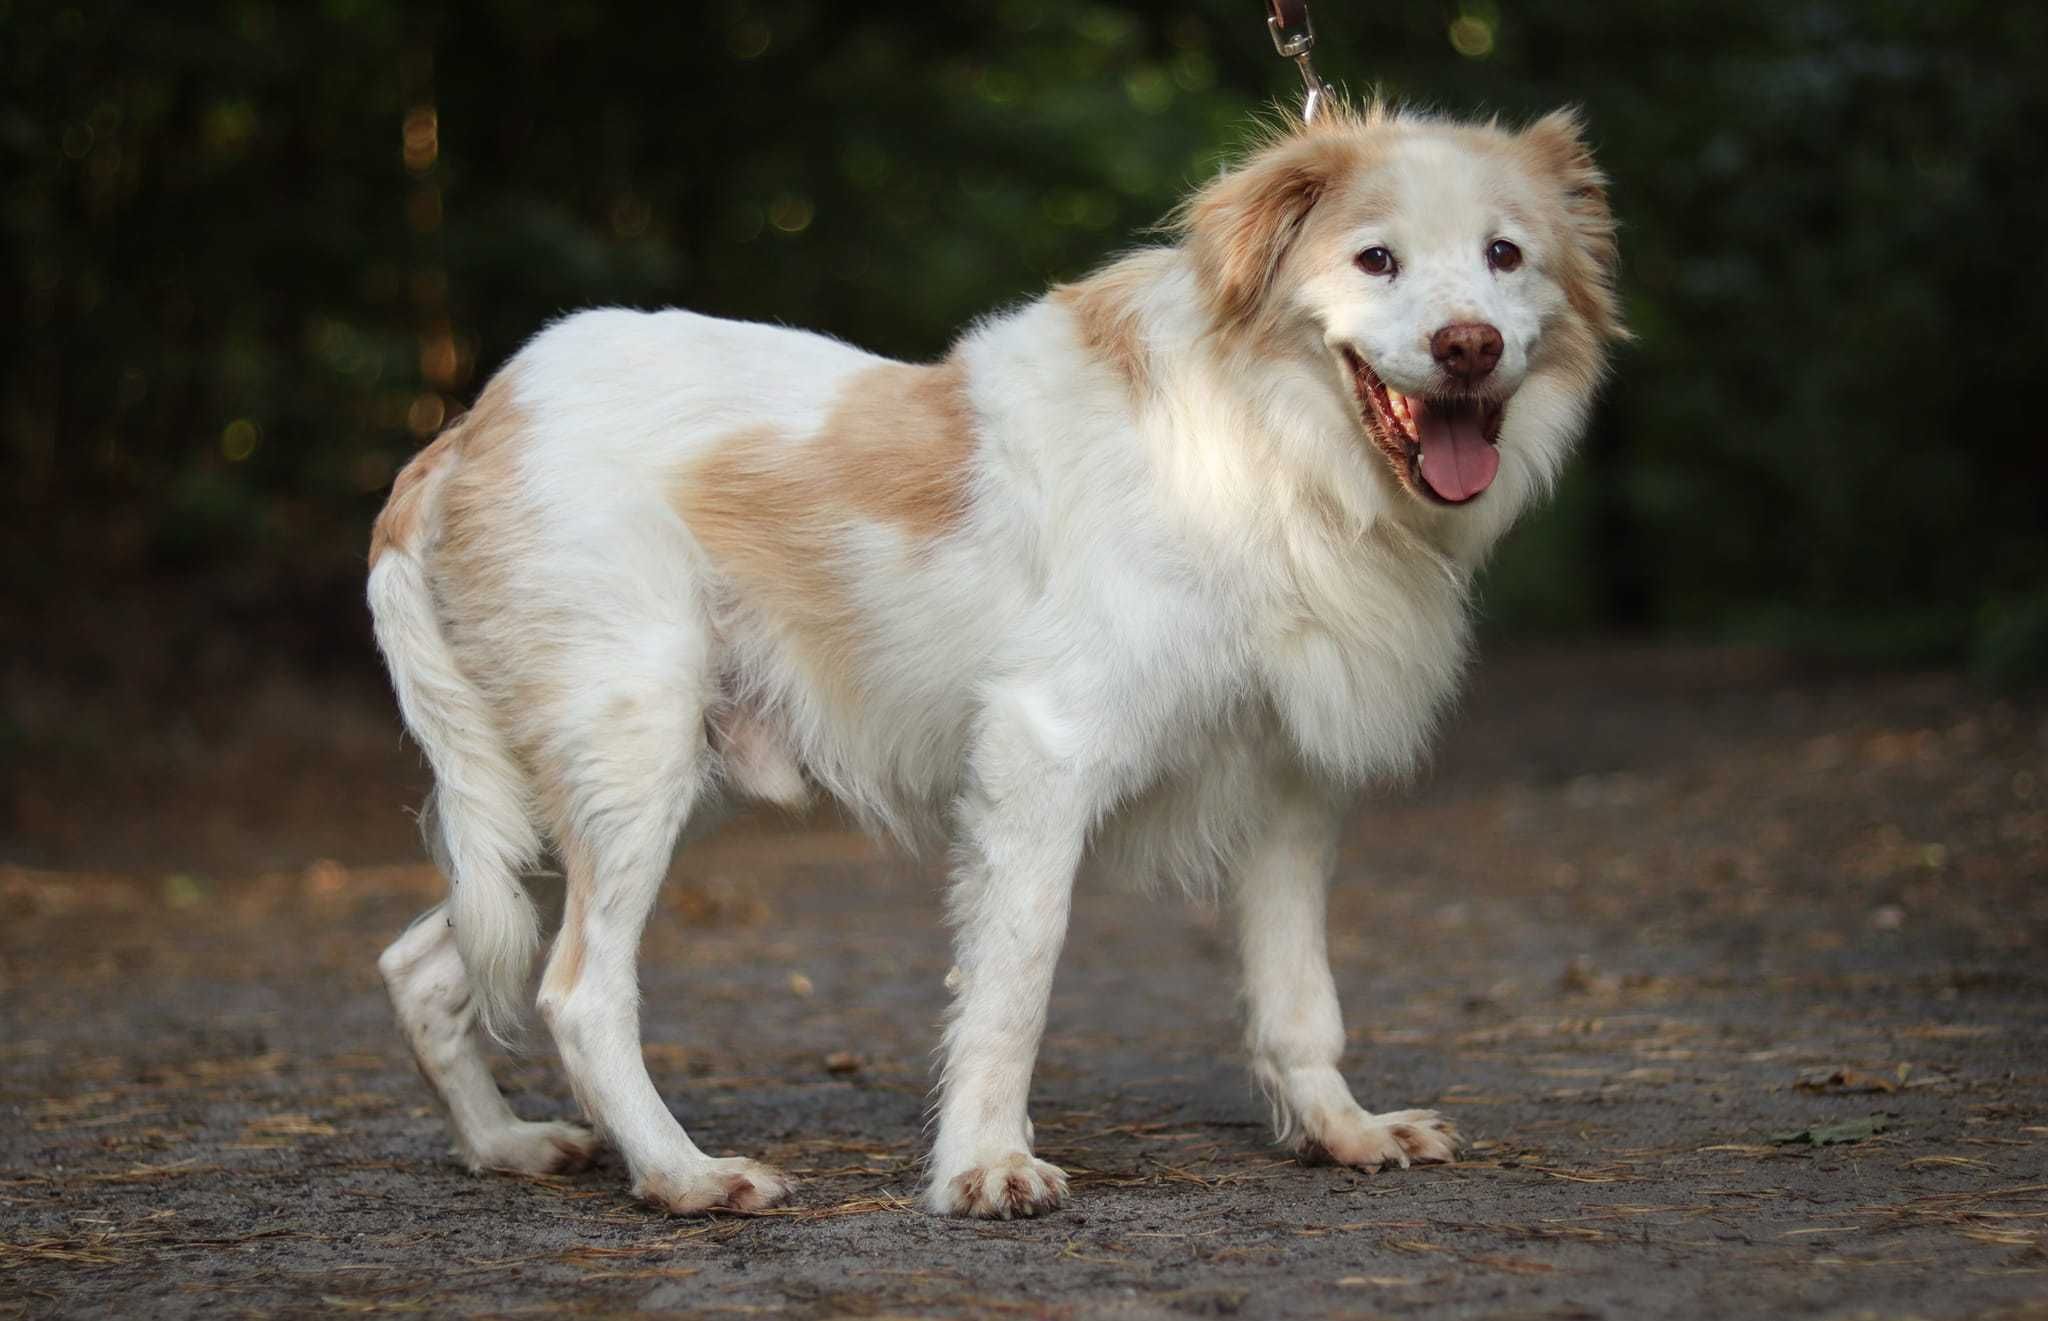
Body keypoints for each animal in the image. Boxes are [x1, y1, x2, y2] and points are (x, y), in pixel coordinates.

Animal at [364, 100, 1613, 1212]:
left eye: (1504, 255)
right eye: (1374, 259)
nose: (1469, 347)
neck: (1269, 447)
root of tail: (470, 427)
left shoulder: (1286, 790)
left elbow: (1298, 1001)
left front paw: (1339, 1129)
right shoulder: (1041, 756)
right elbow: (1014, 982)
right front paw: (984, 1165)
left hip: (602, 791)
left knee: (424, 967)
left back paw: (504, 1146)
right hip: (630, 764)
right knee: (577, 992)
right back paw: (682, 1175)